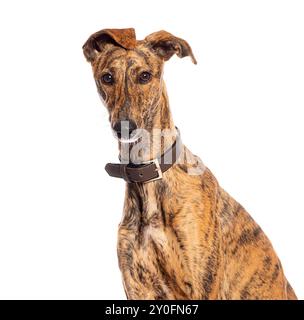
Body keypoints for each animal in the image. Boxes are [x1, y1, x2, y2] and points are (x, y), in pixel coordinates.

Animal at [82, 28, 296, 300]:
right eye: (107, 77)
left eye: (145, 76)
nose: (124, 127)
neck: (150, 177)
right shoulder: (137, 287)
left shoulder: (202, 283)